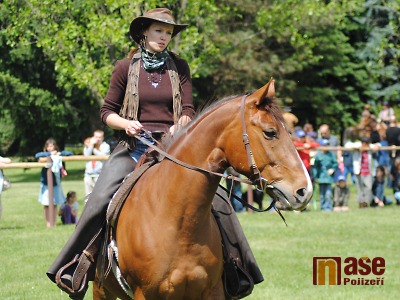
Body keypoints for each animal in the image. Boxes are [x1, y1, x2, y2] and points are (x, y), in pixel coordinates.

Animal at [94, 80, 312, 300]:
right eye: (270, 132)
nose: (305, 191)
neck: (178, 223)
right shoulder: (145, 294)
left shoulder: (212, 292)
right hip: (101, 290)